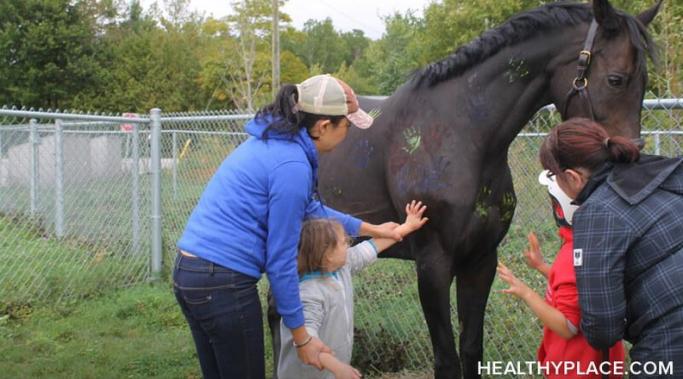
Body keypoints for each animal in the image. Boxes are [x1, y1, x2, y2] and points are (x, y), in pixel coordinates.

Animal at [314, 0, 664, 379]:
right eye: (616, 79)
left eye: (645, 81)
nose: (630, 157)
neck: (458, 134)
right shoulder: (432, 265)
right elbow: (447, 359)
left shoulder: (480, 261)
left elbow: (471, 349)